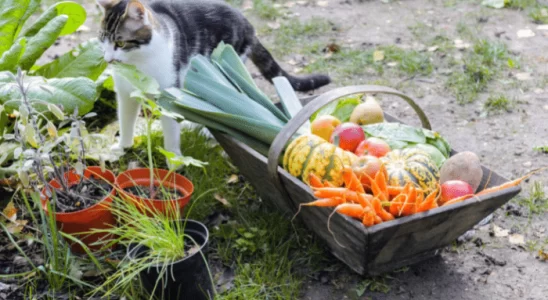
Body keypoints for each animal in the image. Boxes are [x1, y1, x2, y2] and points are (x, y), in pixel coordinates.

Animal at [95, 0, 330, 158]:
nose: (107, 59)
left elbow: (170, 130)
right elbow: (126, 121)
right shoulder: (125, 93)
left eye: (121, 43)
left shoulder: (168, 93)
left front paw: (174, 160)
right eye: (102, 40)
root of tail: (248, 25)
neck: (138, 65)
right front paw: (123, 148)